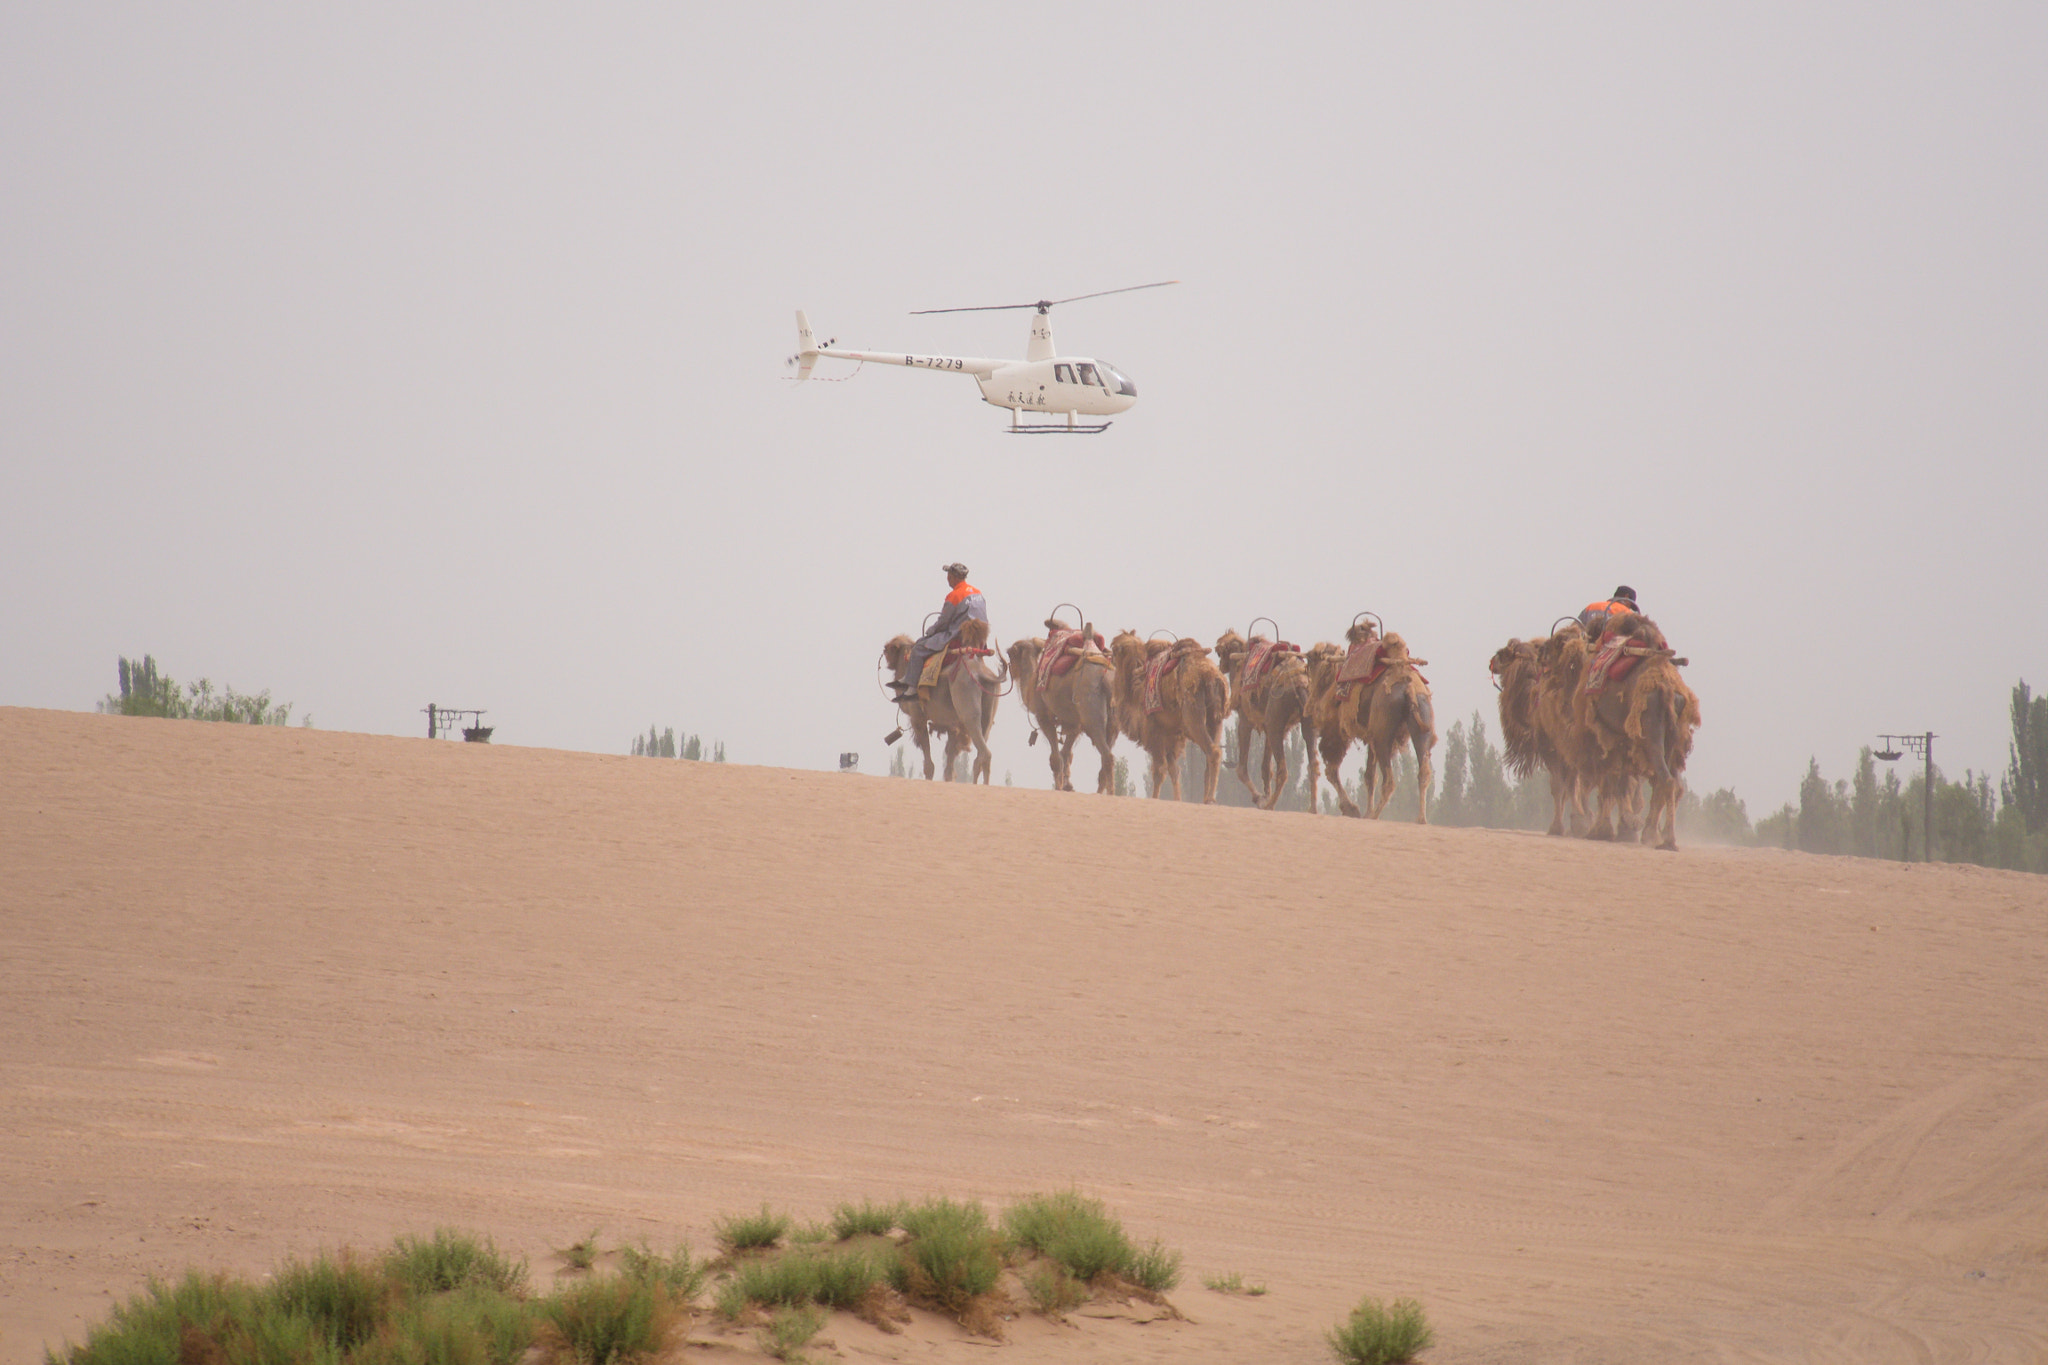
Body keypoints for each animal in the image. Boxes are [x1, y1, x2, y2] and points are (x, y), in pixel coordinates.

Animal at [882, 620, 1003, 783]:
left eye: (888, 648)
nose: (884, 655)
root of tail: (983, 674)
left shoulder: (917, 717)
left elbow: (929, 761)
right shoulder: (952, 724)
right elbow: (950, 764)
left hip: (966, 698)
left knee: (983, 749)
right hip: (989, 708)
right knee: (981, 748)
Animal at [1007, 622, 1119, 794]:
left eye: (1010, 653)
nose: (1009, 669)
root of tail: (1105, 677)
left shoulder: (1043, 717)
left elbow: (1056, 757)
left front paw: (1059, 787)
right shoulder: (1074, 724)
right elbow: (1066, 754)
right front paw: (1068, 786)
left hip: (1091, 714)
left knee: (1107, 755)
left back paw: (1107, 793)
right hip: (1113, 722)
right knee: (1106, 755)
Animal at [1108, 631, 1231, 803]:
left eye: (1114, 648)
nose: (1108, 655)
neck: (1136, 687)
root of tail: (1211, 677)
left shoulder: (1154, 730)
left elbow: (1159, 769)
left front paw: (1154, 798)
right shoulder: (1171, 733)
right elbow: (1174, 769)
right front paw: (1178, 799)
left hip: (1193, 715)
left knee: (1213, 751)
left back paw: (1210, 799)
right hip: (1215, 718)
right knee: (1211, 753)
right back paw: (1206, 797)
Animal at [1215, 629, 1318, 810]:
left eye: (1220, 652)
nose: (1221, 665)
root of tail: (1299, 682)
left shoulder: (1245, 719)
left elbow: (1242, 769)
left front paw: (1260, 799)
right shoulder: (1267, 723)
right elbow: (1265, 768)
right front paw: (1264, 795)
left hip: (1275, 715)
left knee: (1283, 770)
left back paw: (1270, 805)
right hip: (1305, 720)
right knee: (1312, 765)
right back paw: (1312, 808)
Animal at [1309, 624, 1436, 821]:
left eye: (1311, 659)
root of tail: (1408, 687)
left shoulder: (1335, 732)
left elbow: (1332, 772)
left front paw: (1352, 809)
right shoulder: (1369, 737)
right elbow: (1369, 776)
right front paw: (1363, 810)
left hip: (1383, 733)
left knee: (1390, 780)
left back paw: (1375, 815)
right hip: (1422, 718)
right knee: (1423, 771)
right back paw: (1420, 819)